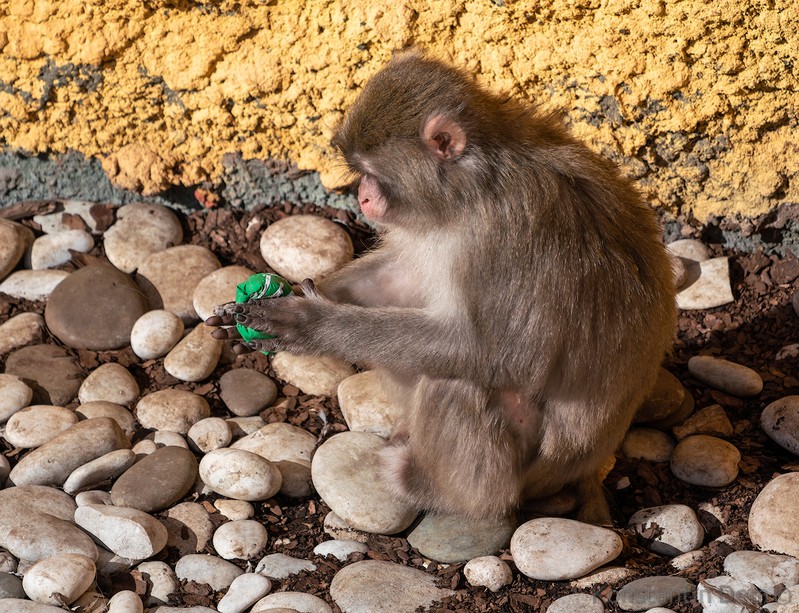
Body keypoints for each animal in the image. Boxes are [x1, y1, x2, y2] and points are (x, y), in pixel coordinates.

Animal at [209, 50, 680, 524]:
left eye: (370, 172)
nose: (362, 197)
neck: (473, 185)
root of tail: (586, 468)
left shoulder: (503, 235)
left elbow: (506, 356)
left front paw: (310, 324)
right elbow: (401, 277)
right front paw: (295, 293)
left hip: (529, 462)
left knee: (456, 382)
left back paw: (442, 491)